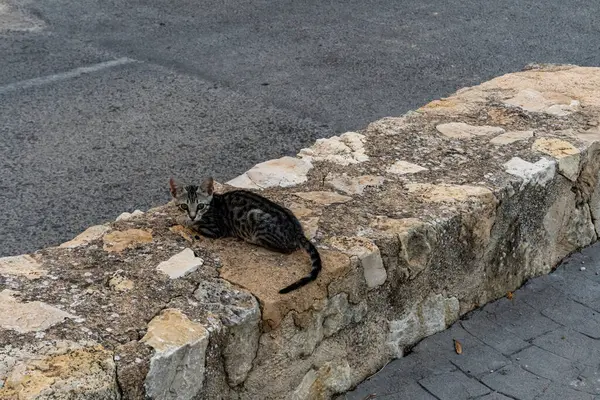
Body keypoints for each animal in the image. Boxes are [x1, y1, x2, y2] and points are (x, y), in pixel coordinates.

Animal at [169, 177, 322, 292]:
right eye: (184, 206)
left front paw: (180, 220)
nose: (192, 215)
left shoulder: (215, 229)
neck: (212, 204)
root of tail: (297, 232)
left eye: (200, 206)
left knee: (286, 248)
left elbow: (193, 224)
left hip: (256, 219)